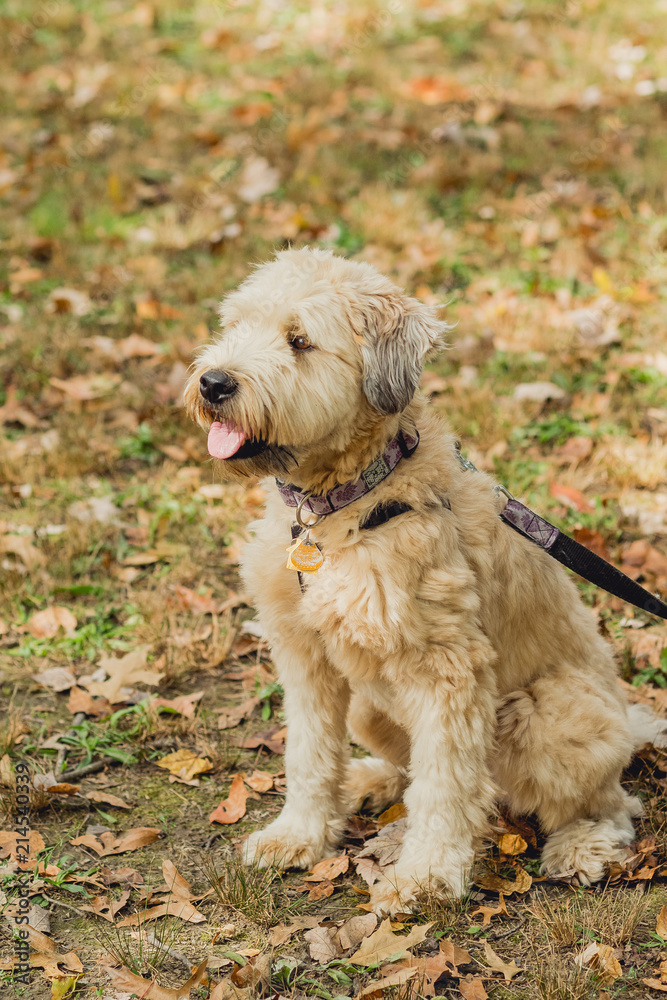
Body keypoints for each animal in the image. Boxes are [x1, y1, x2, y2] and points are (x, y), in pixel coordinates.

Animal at [184, 244, 667, 916]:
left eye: (298, 341)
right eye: (235, 324)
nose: (214, 382)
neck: (339, 507)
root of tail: (629, 723)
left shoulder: (448, 669)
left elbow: (445, 785)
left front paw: (426, 877)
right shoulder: (306, 656)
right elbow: (309, 755)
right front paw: (299, 835)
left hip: (546, 714)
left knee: (609, 803)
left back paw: (583, 845)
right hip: (369, 708)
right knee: (411, 765)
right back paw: (370, 780)